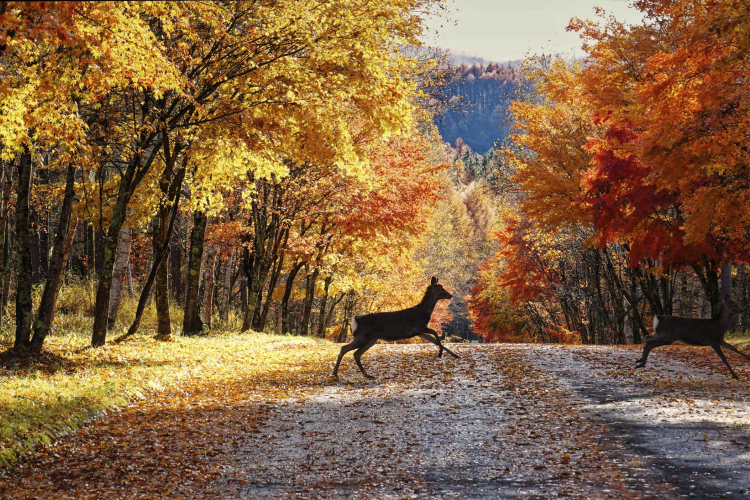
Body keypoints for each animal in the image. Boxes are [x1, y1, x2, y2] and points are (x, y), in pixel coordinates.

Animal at [334, 278, 462, 378]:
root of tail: (356, 320)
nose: (450, 295)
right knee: (344, 348)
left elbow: (435, 341)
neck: (425, 311)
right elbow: (435, 333)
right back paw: (335, 374)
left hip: (371, 339)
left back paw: (366, 375)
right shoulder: (417, 327)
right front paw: (440, 354)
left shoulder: (419, 332)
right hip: (362, 336)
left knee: (356, 353)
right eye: (441, 289)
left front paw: (455, 355)